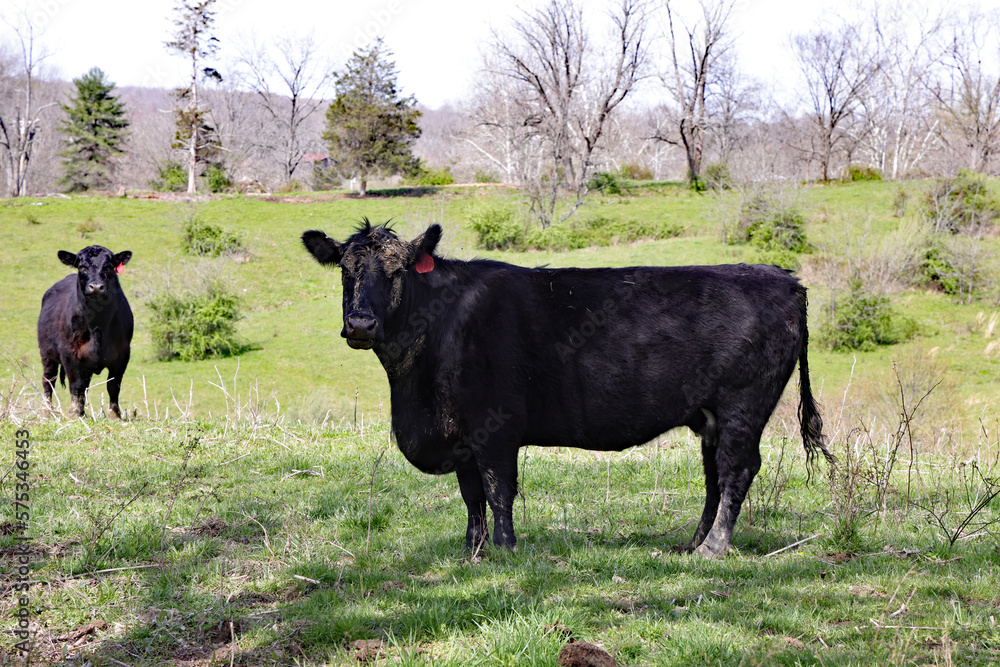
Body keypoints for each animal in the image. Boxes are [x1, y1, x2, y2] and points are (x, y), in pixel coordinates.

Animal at [37, 245, 133, 420]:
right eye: (82, 267)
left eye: (108, 267)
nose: (96, 287)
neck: (98, 326)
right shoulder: (69, 353)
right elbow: (76, 385)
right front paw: (74, 413)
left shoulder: (123, 353)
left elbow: (113, 385)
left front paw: (115, 414)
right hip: (47, 354)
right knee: (48, 381)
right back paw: (47, 411)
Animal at [300, 224, 832, 560]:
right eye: (345, 270)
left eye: (396, 271)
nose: (360, 324)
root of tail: (783, 277)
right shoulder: (462, 435)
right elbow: (471, 496)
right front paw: (471, 552)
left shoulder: (496, 427)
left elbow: (498, 489)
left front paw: (505, 549)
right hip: (710, 416)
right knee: (714, 477)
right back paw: (692, 544)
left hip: (743, 404)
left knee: (736, 470)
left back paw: (715, 549)